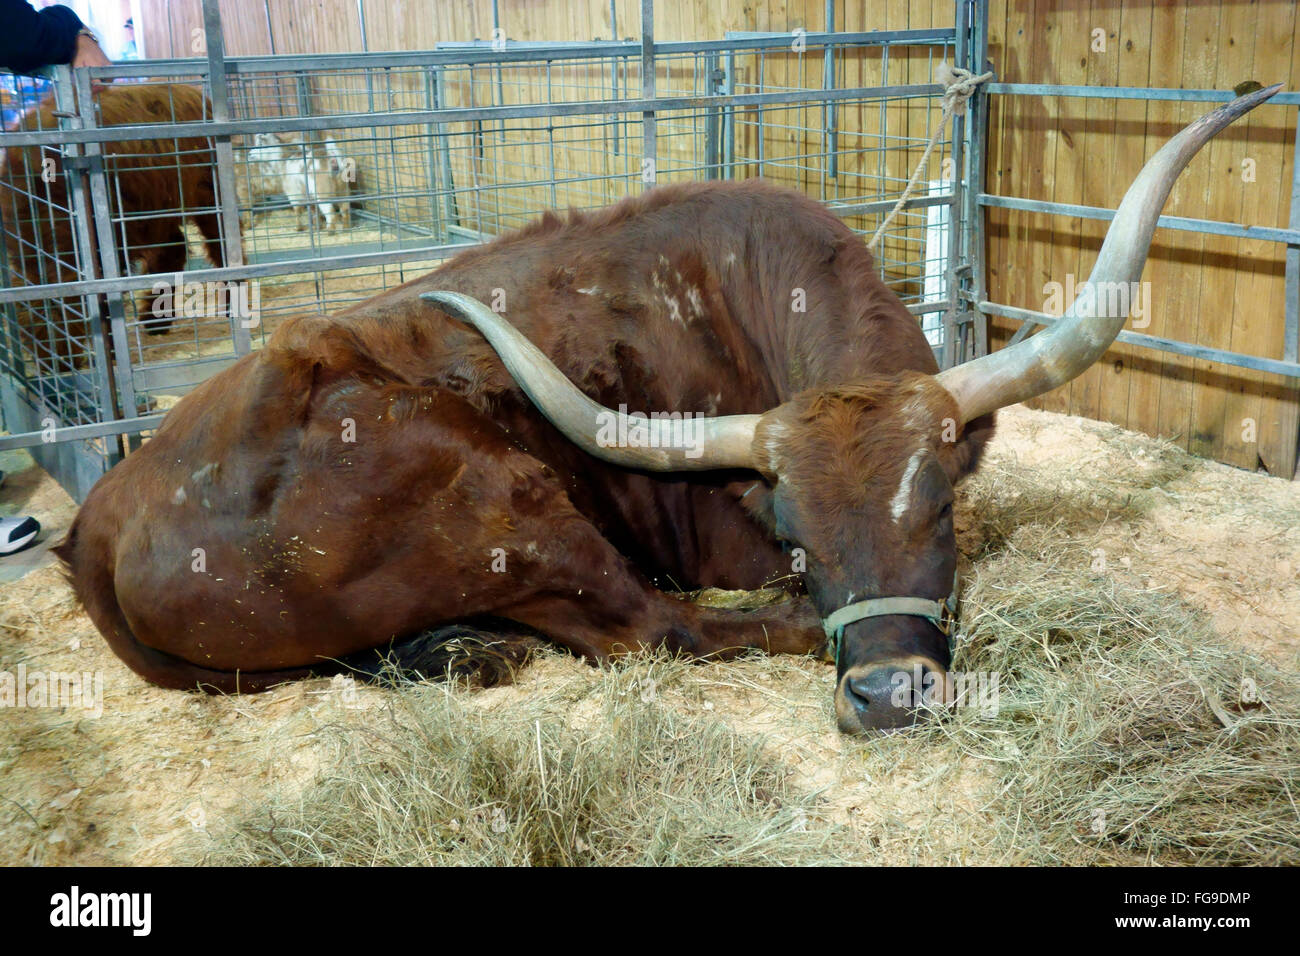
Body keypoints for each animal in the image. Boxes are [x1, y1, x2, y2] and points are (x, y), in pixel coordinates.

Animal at [55, 88, 1277, 733]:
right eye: (794, 536)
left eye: (932, 509)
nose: (886, 693)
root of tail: (98, 523)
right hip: (503, 500)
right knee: (649, 626)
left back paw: (465, 648)